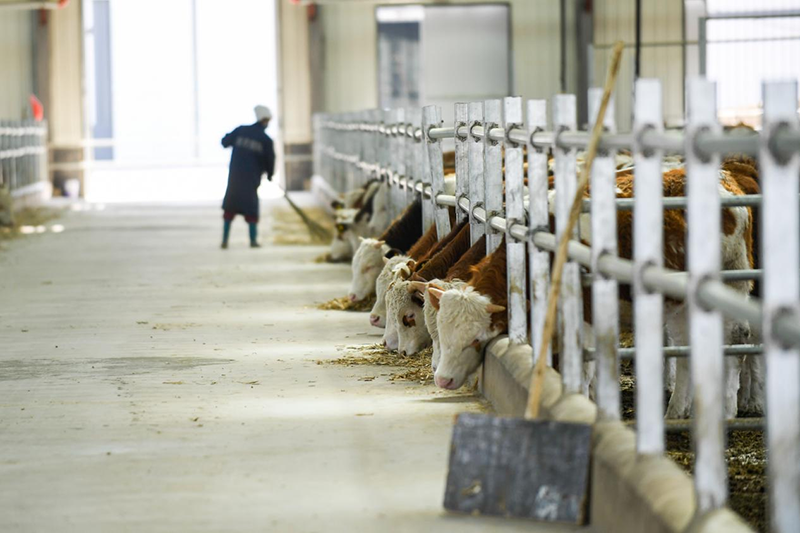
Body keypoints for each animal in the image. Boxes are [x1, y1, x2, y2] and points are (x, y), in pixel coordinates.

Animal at [428, 167, 760, 420]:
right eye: (442, 334)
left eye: (476, 340)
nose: (442, 379)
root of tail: (728, 178)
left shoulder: (585, 316)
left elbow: (586, 369)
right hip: (680, 300)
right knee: (686, 348)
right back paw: (676, 412)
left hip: (734, 279)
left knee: (737, 338)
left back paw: (728, 410)